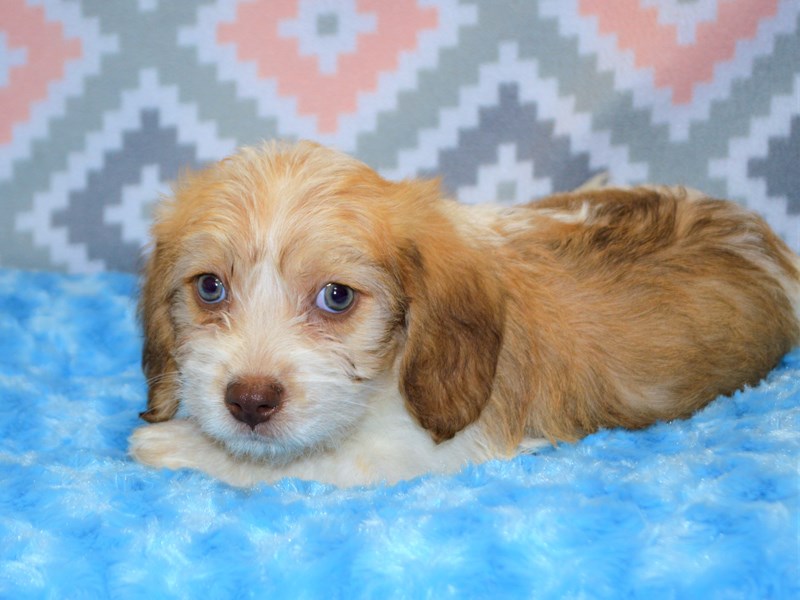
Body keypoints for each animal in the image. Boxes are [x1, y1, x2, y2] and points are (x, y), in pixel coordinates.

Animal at [131, 141, 800, 488]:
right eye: (210, 287)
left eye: (337, 297)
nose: (248, 401)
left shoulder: (410, 456)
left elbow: (295, 465)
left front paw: (173, 444)